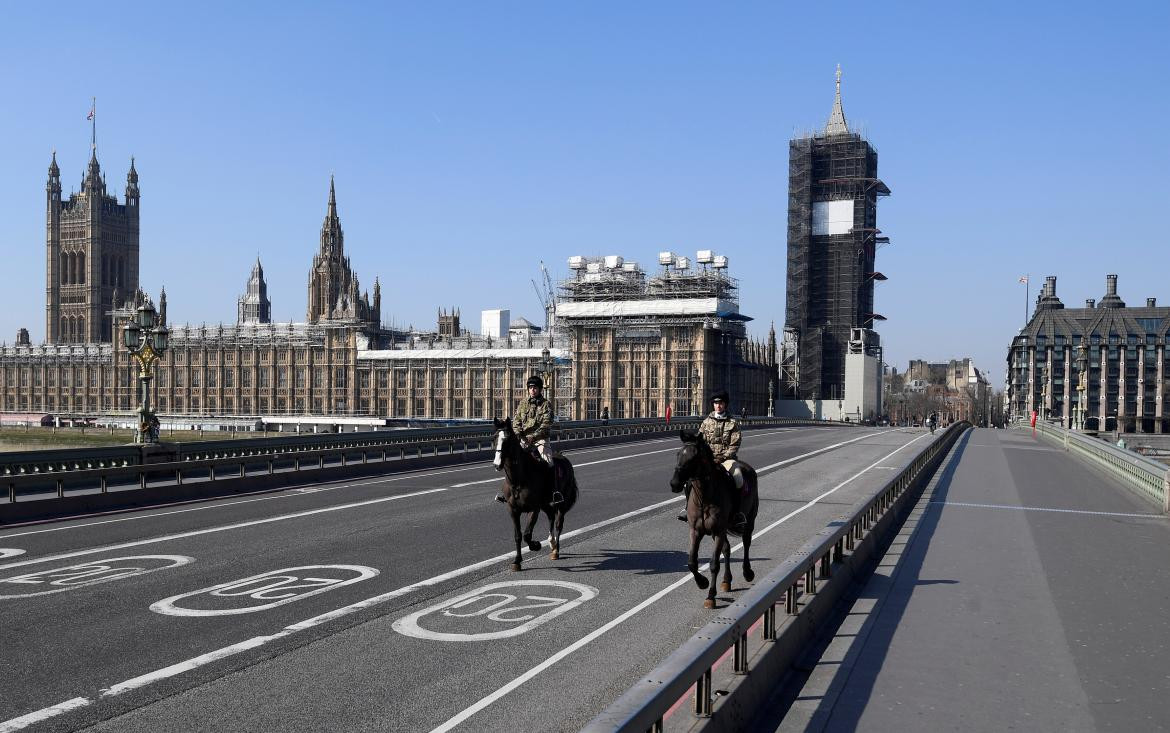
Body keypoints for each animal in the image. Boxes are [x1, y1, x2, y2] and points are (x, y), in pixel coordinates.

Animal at [491, 416, 577, 571]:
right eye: (494, 438)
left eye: (507, 439)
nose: (497, 464)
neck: (518, 480)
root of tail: (564, 458)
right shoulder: (513, 510)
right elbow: (518, 535)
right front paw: (517, 561)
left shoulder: (534, 509)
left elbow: (527, 534)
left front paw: (536, 545)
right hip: (547, 505)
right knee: (551, 518)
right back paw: (551, 543)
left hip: (561, 504)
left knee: (558, 524)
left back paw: (556, 551)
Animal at [669, 428, 758, 604]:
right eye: (678, 454)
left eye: (693, 457)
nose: (674, 484)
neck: (705, 497)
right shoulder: (696, 531)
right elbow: (692, 562)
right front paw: (702, 583)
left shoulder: (718, 531)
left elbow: (714, 564)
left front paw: (710, 596)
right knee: (727, 549)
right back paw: (726, 581)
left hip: (749, 520)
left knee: (746, 543)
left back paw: (747, 572)